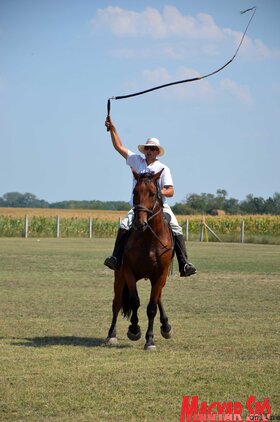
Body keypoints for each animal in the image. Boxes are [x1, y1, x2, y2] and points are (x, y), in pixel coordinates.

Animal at [106, 168, 174, 350]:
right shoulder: (129, 272)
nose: (140, 223)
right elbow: (135, 301)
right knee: (116, 303)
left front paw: (149, 340)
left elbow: (152, 307)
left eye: (152, 193)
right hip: (119, 276)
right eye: (134, 192)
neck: (148, 239)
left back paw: (166, 326)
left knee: (158, 299)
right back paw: (111, 335)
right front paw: (134, 329)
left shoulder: (160, 275)